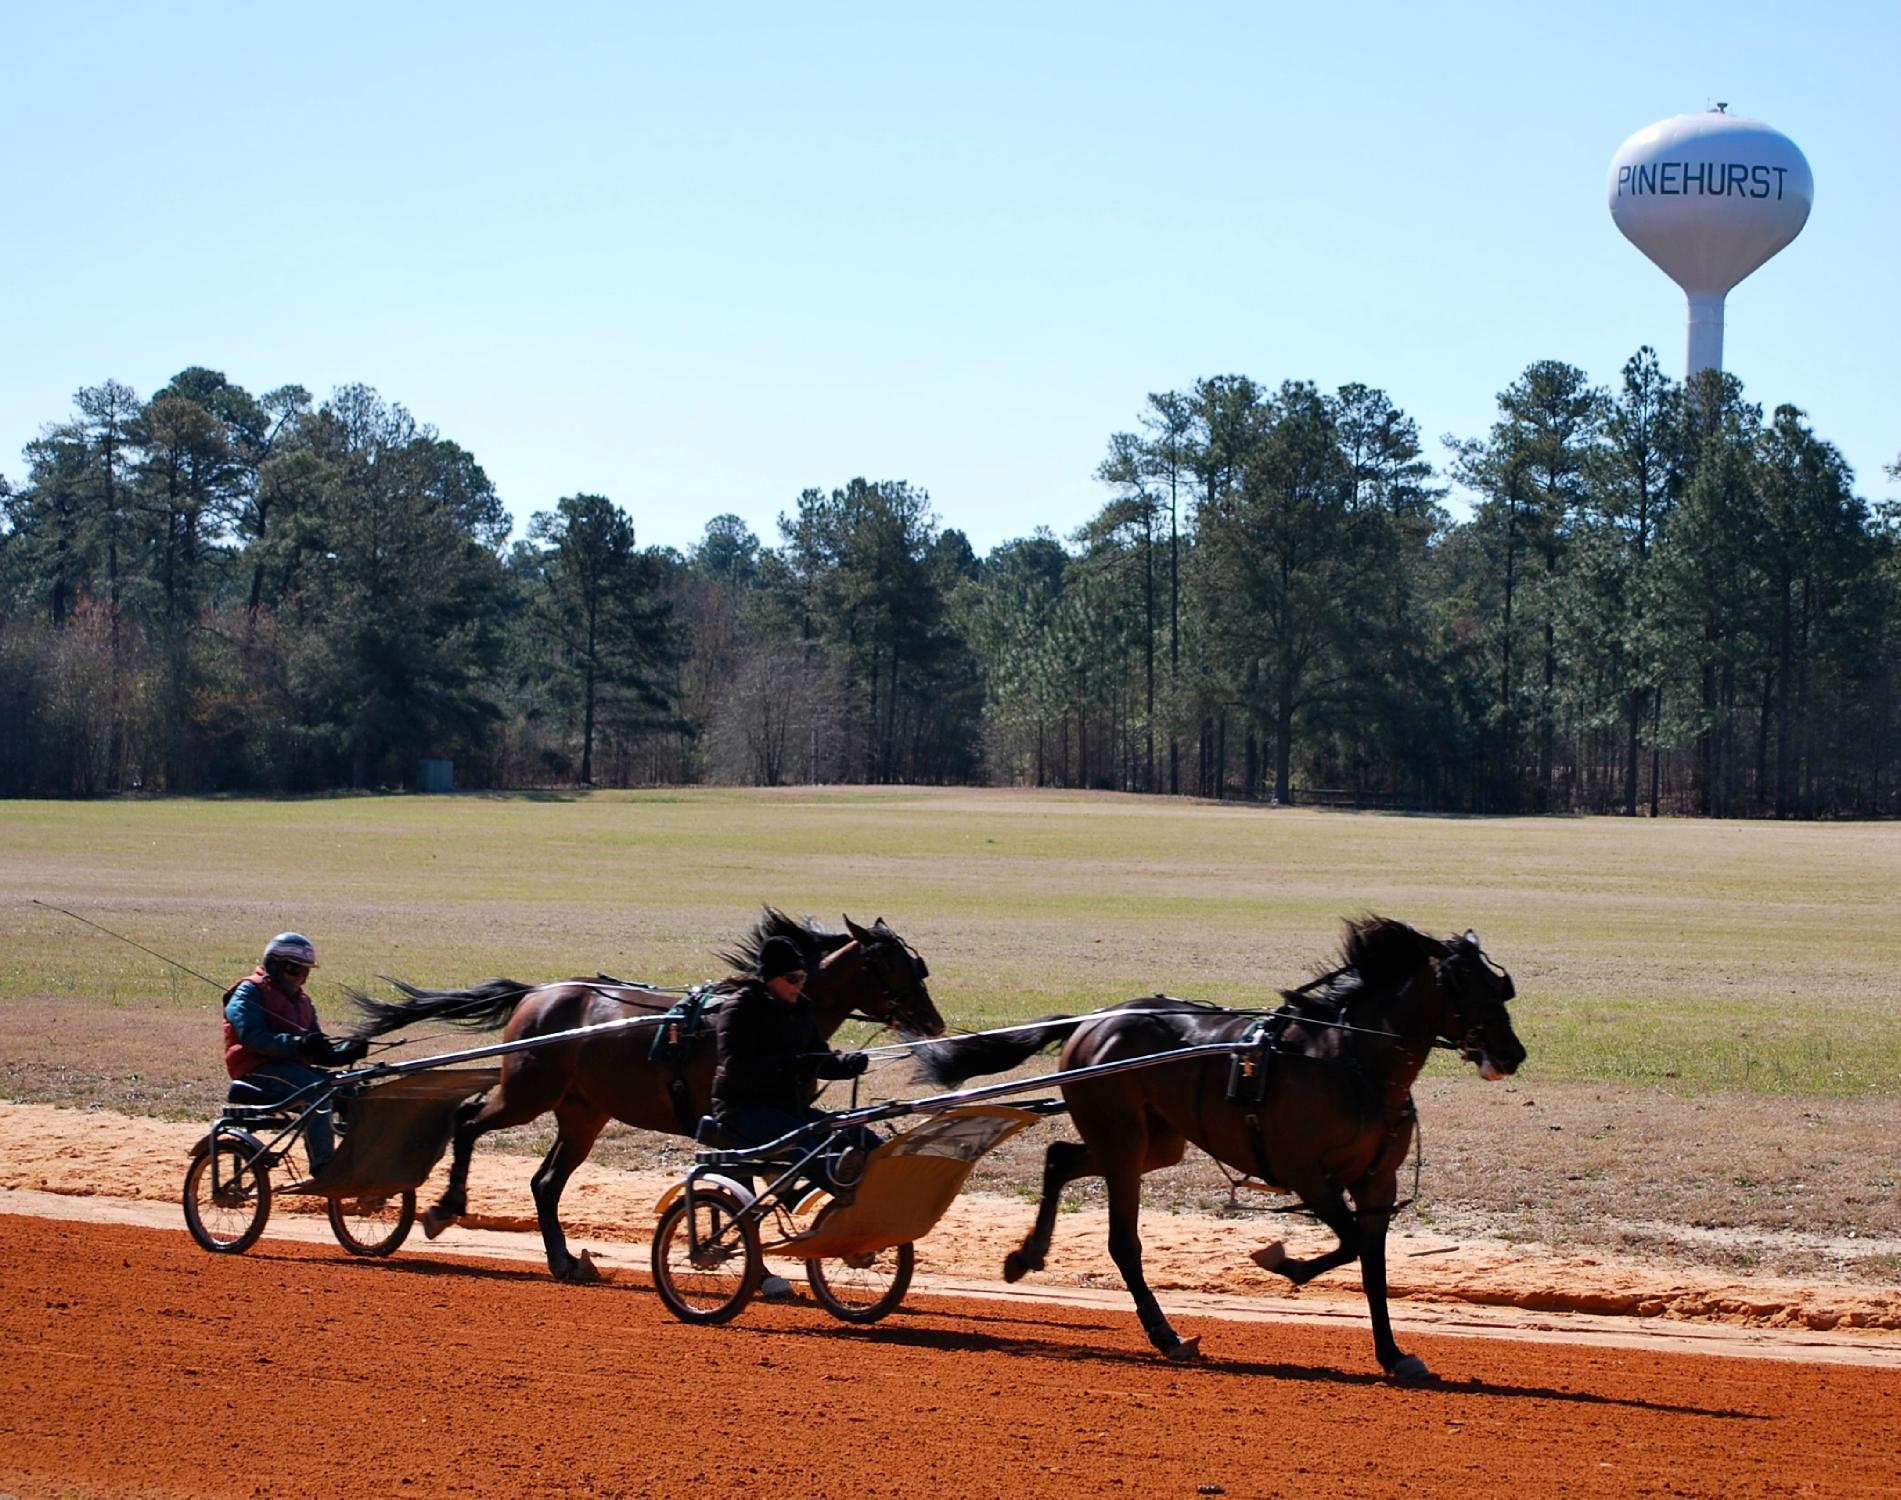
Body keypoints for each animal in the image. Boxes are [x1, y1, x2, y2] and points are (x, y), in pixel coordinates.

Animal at [349, 908, 942, 1285]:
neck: (776, 1010)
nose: (933, 1022)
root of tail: (538, 993)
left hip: (582, 1113)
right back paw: (446, 1207)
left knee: (545, 1184)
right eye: (889, 966)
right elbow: (742, 1190)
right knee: (469, 1120)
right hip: (527, 1092)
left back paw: (565, 1261)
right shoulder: (730, 1124)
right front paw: (747, 1263)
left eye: (915, 964)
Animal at [912, 912, 1520, 1384]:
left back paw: (1027, 1255)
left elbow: (1371, 1262)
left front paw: (1393, 1356)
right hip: (1122, 1139)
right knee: (1122, 1241)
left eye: (1499, 987)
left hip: (1155, 1141)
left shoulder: (1376, 1181)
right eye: (1465, 987)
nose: (1513, 1052)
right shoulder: (1307, 1173)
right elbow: (1347, 1245)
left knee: (1060, 1157)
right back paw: (1165, 1334)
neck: (1345, 1062)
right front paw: (1282, 1261)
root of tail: (1097, 1019)